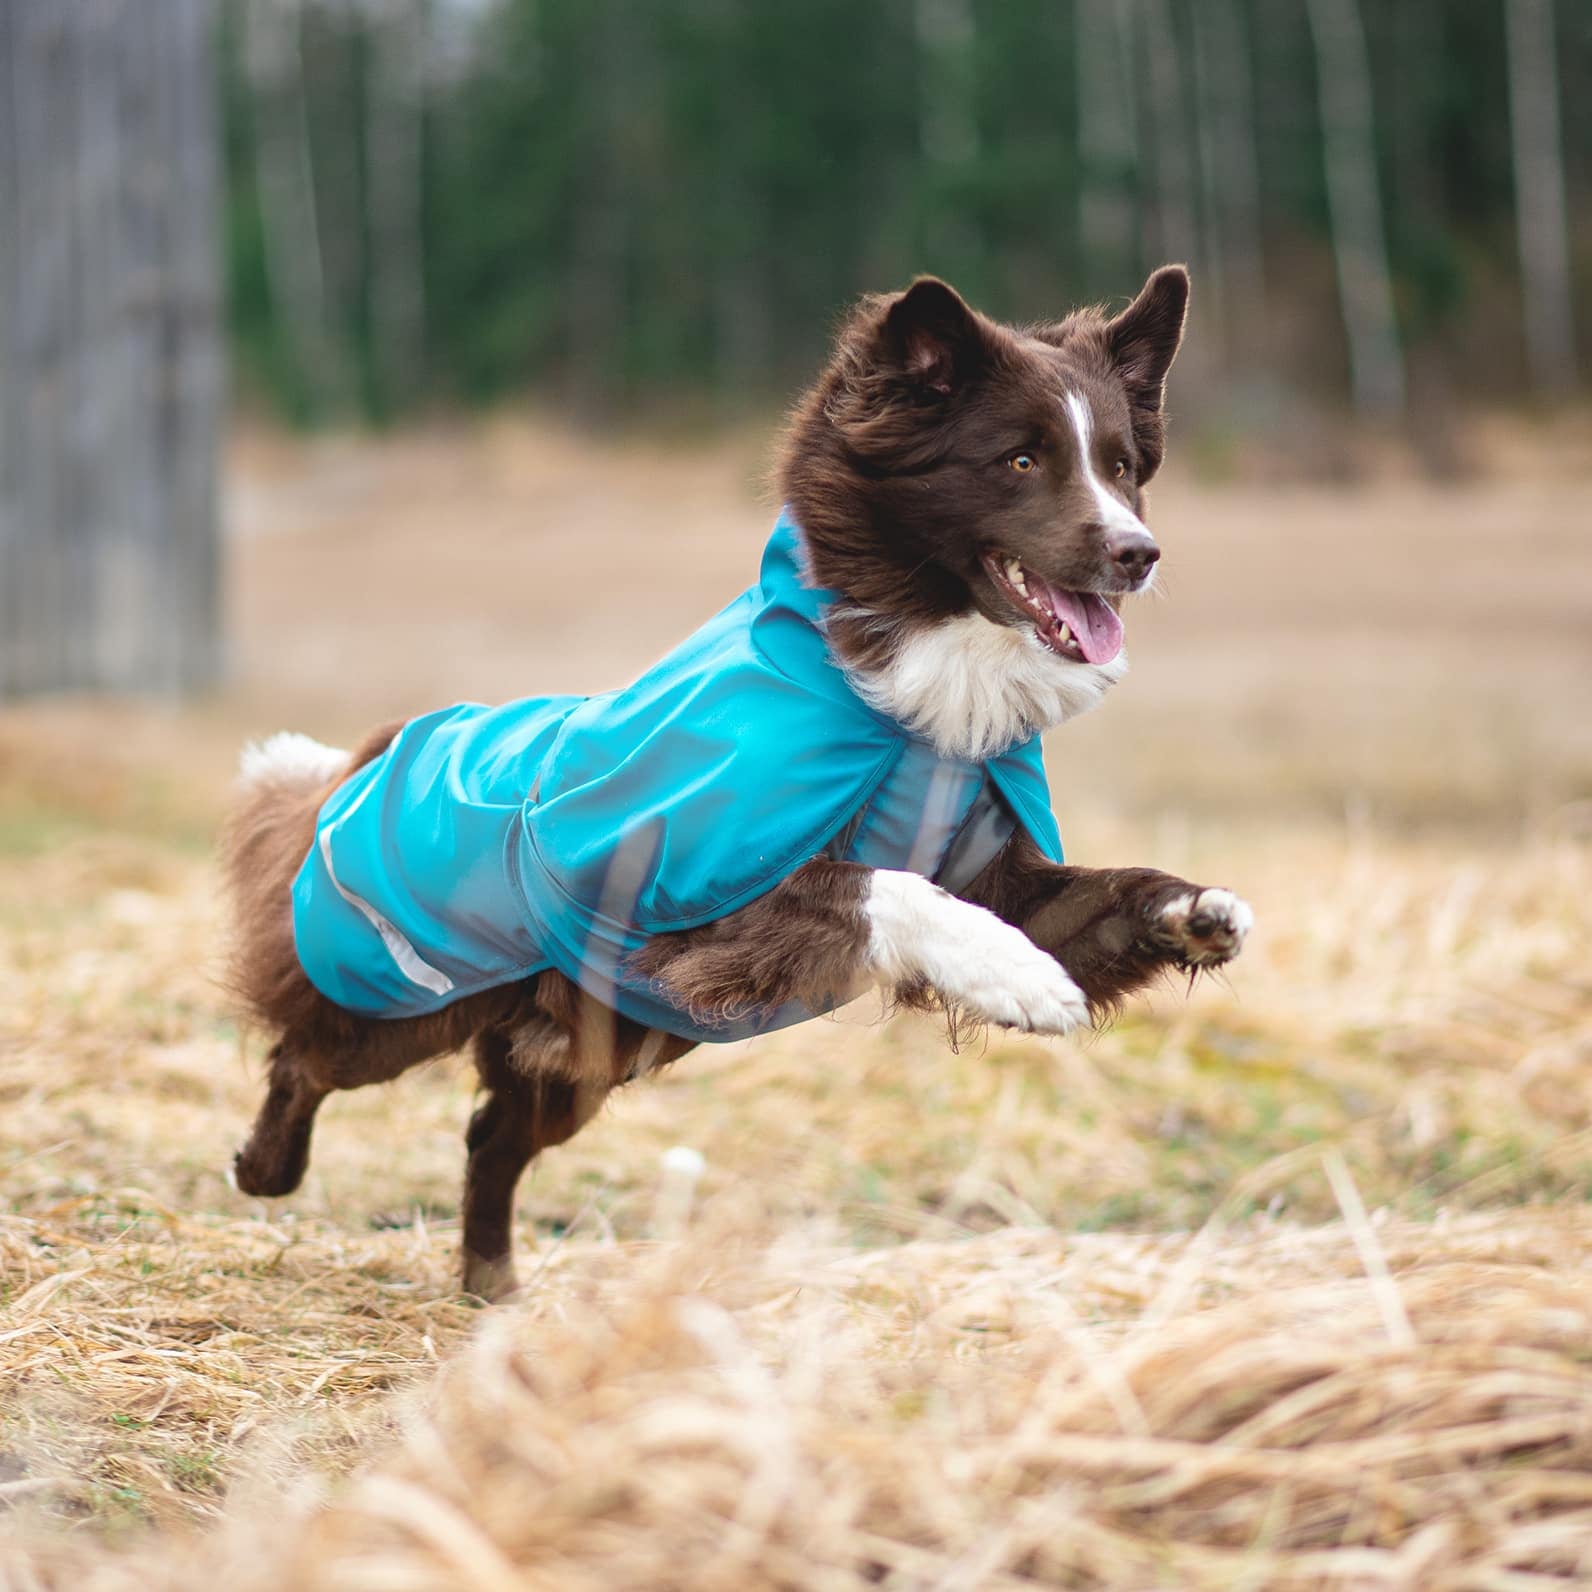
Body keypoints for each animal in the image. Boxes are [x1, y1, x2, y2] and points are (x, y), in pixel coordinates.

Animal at [224, 261, 1248, 1299]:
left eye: (1122, 467)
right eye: (1021, 461)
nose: (1138, 554)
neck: (902, 706)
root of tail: (375, 751)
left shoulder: (994, 874)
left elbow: (1087, 897)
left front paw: (1196, 910)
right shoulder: (680, 898)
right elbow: (879, 886)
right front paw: (1021, 979)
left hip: (577, 1047)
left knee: (490, 1139)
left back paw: (493, 1288)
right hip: (397, 996)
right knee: (304, 1057)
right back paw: (266, 1169)